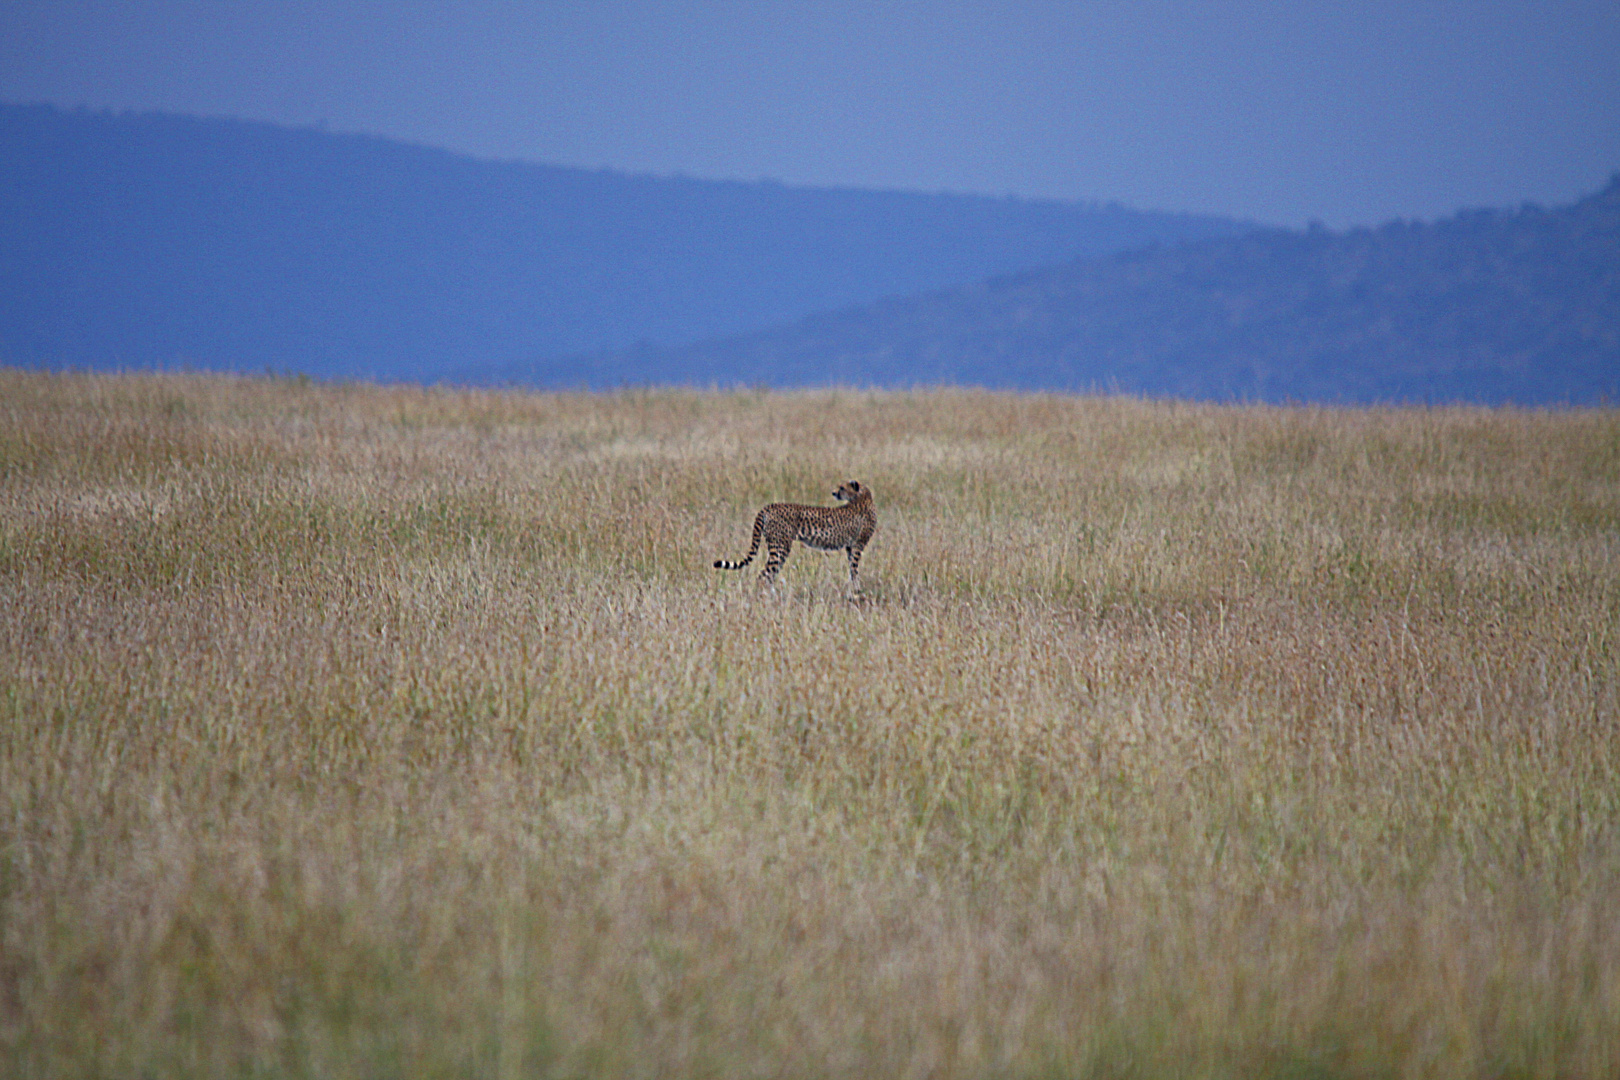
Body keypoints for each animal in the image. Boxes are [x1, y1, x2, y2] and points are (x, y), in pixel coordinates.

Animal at [716, 482, 881, 592]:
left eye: (841, 488)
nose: (833, 493)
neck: (863, 496)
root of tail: (769, 506)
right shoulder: (858, 545)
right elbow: (854, 568)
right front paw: (857, 593)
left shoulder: (851, 546)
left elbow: (852, 570)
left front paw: (854, 590)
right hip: (780, 547)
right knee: (764, 575)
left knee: (768, 575)